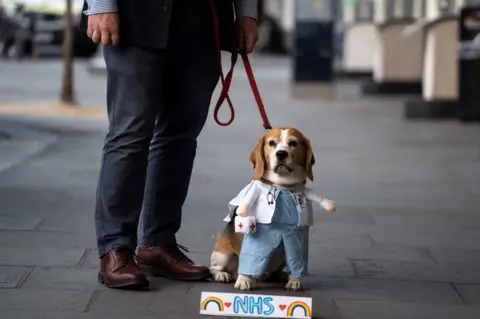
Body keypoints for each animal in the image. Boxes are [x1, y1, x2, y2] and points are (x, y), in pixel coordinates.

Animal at [210, 127, 338, 292]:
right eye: (271, 143)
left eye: (293, 143)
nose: (281, 154)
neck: (283, 187)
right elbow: (249, 257)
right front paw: (243, 280)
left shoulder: (297, 238)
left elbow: (297, 259)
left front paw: (295, 281)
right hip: (223, 255)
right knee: (216, 268)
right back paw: (223, 275)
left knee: (274, 273)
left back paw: (281, 276)